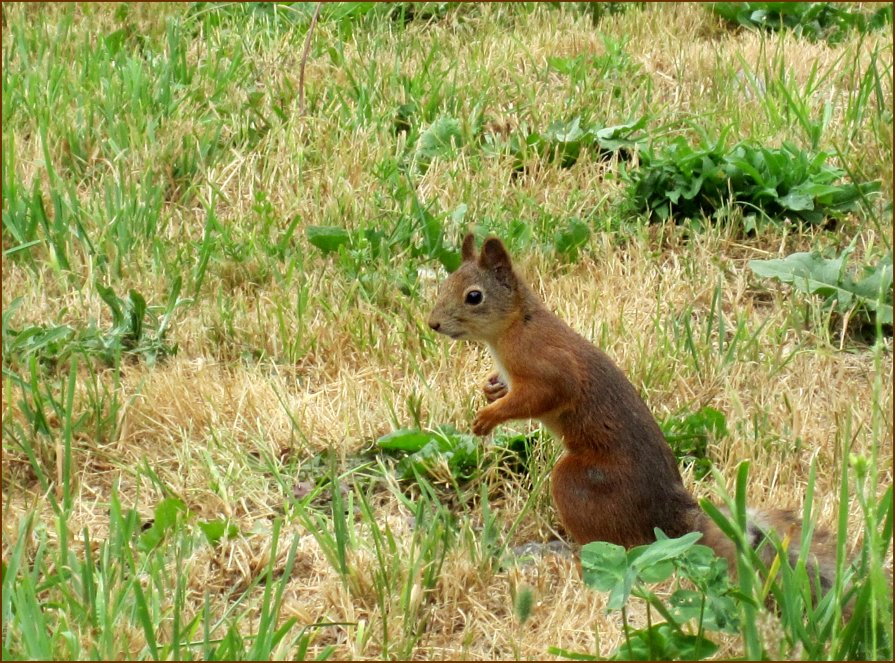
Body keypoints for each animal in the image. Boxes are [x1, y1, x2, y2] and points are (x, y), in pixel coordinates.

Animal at [428, 235, 840, 596]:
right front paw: (491, 388)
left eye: (474, 296)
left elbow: (542, 395)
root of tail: (671, 515)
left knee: (621, 545)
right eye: (446, 282)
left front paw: (488, 417)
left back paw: (572, 557)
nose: (433, 324)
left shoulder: (548, 367)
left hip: (583, 484)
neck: (516, 324)